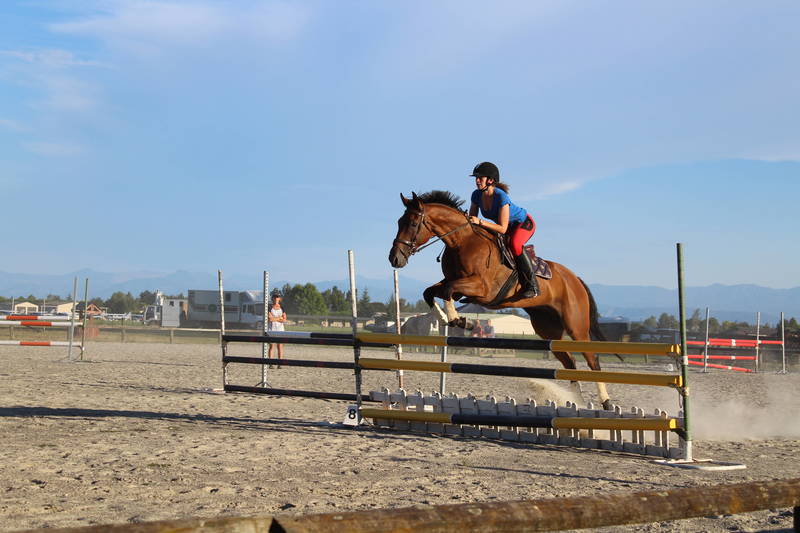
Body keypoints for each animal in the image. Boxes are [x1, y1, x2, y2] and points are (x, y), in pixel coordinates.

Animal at [388, 190, 613, 408]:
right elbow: (431, 292)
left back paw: (606, 402)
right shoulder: (459, 286)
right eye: (399, 222)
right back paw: (577, 402)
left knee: (592, 359)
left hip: (576, 326)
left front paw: (460, 321)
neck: (461, 242)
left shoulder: (481, 288)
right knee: (569, 362)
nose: (394, 258)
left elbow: (446, 291)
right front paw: (450, 319)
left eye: (413, 223)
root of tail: (575, 279)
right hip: (548, 329)